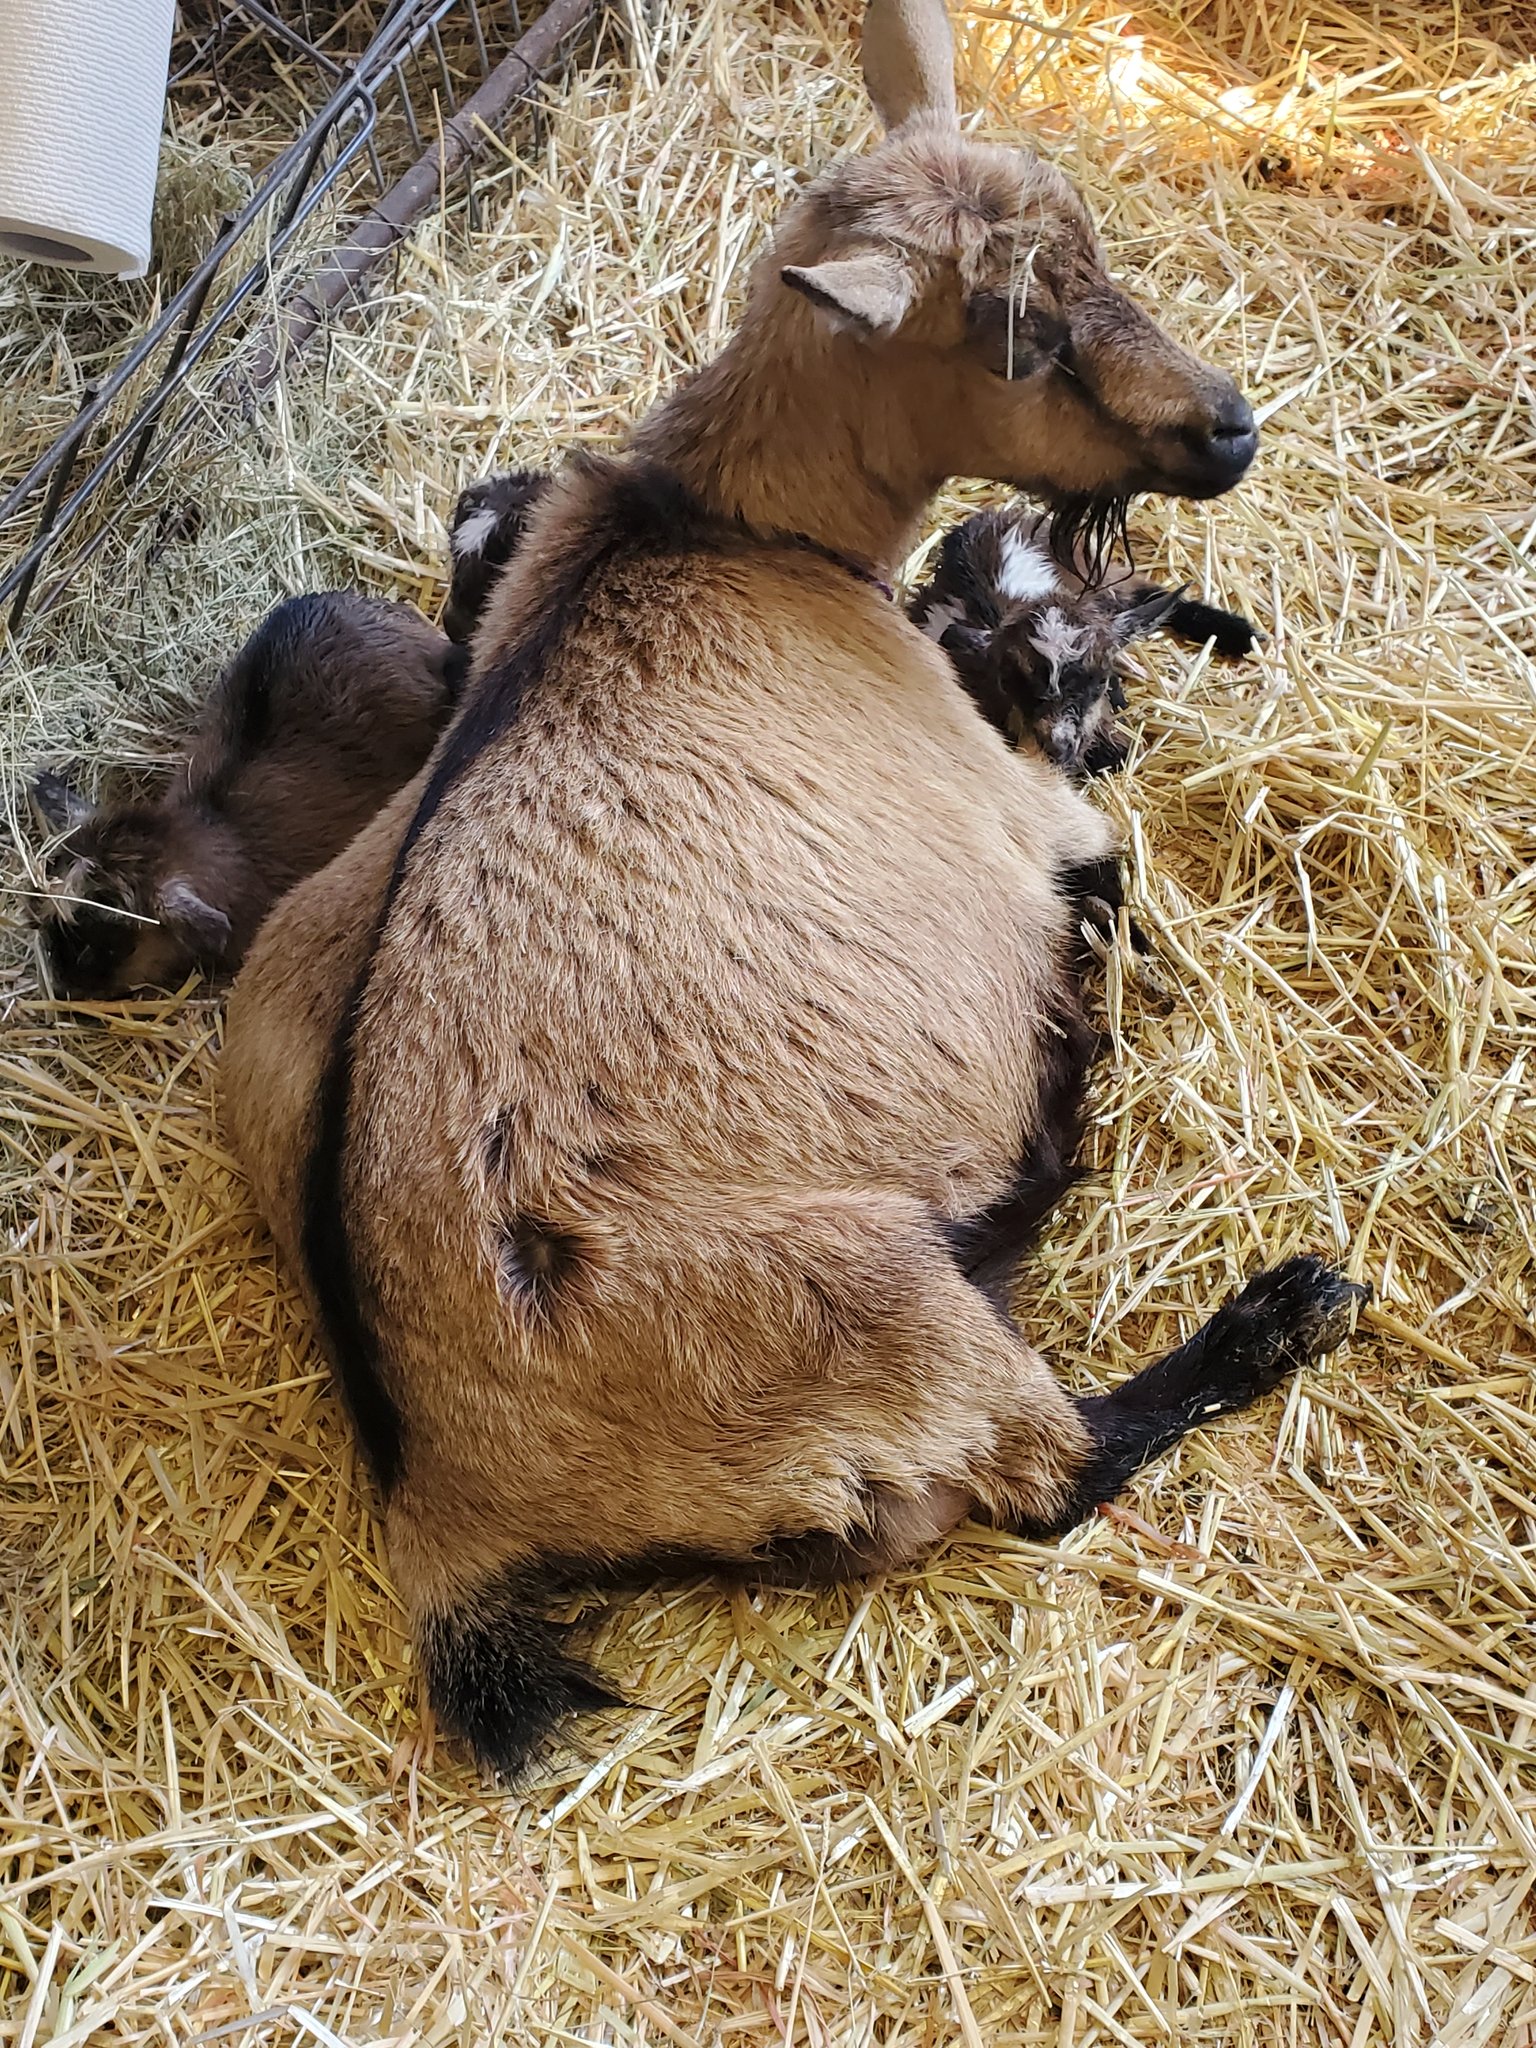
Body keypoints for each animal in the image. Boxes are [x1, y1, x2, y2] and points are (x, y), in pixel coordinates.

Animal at [223, 0, 1361, 1779]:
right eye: (1020, 335)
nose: (1229, 427)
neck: (725, 527)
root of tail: (442, 1508)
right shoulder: (1025, 810)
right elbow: (1105, 850)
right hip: (875, 1313)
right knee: (1050, 1471)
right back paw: (1270, 1295)